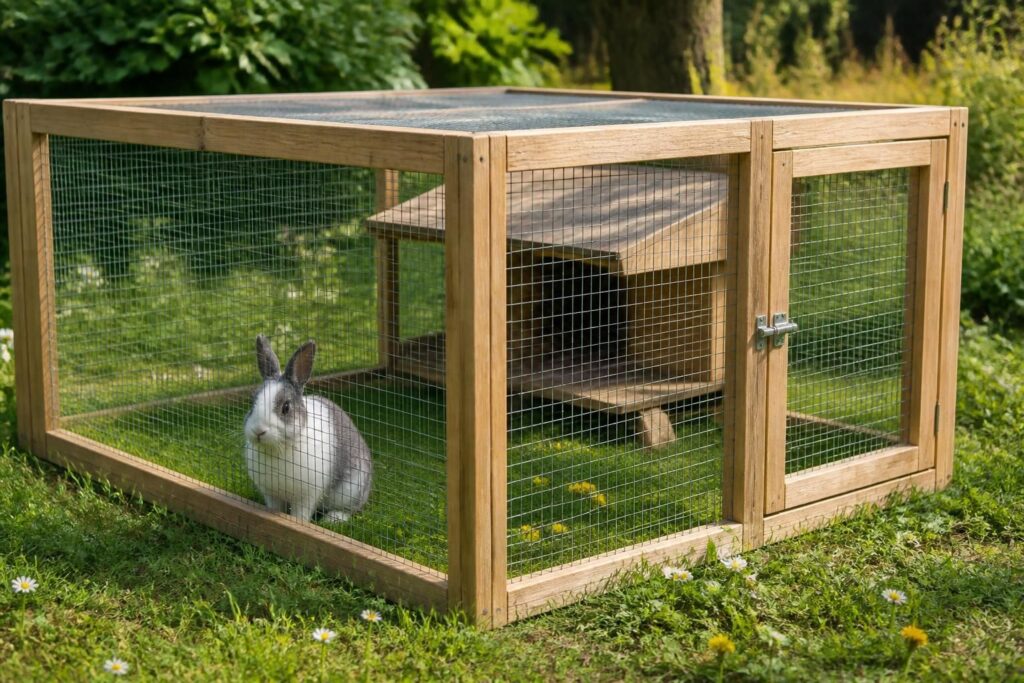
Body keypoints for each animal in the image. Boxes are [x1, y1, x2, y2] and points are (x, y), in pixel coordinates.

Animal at [243, 335, 373, 524]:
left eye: (286, 408)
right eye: (252, 402)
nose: (259, 431)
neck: (278, 448)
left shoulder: (307, 496)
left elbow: (301, 514)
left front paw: (298, 524)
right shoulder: (271, 494)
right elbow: (275, 508)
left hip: (352, 488)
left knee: (350, 509)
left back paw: (332, 519)